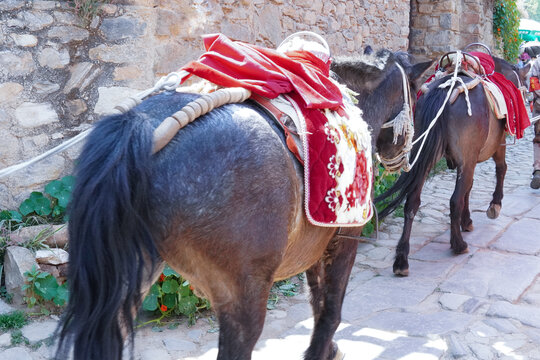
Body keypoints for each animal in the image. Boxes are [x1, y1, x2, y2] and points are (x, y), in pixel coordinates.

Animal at [54, 50, 432, 360]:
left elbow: (317, 301)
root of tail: (142, 128)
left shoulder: (314, 247)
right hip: (243, 294)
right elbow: (331, 309)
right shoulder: (344, 239)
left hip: (130, 281)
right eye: (416, 95)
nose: (404, 156)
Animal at [376, 51, 532, 276]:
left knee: (412, 202)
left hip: (425, 157)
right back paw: (458, 244)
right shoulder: (493, 148)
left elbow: (469, 187)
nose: (530, 99)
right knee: (454, 200)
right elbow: (500, 170)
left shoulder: (468, 161)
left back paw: (401, 260)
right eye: (525, 86)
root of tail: (443, 92)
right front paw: (494, 205)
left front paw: (467, 221)